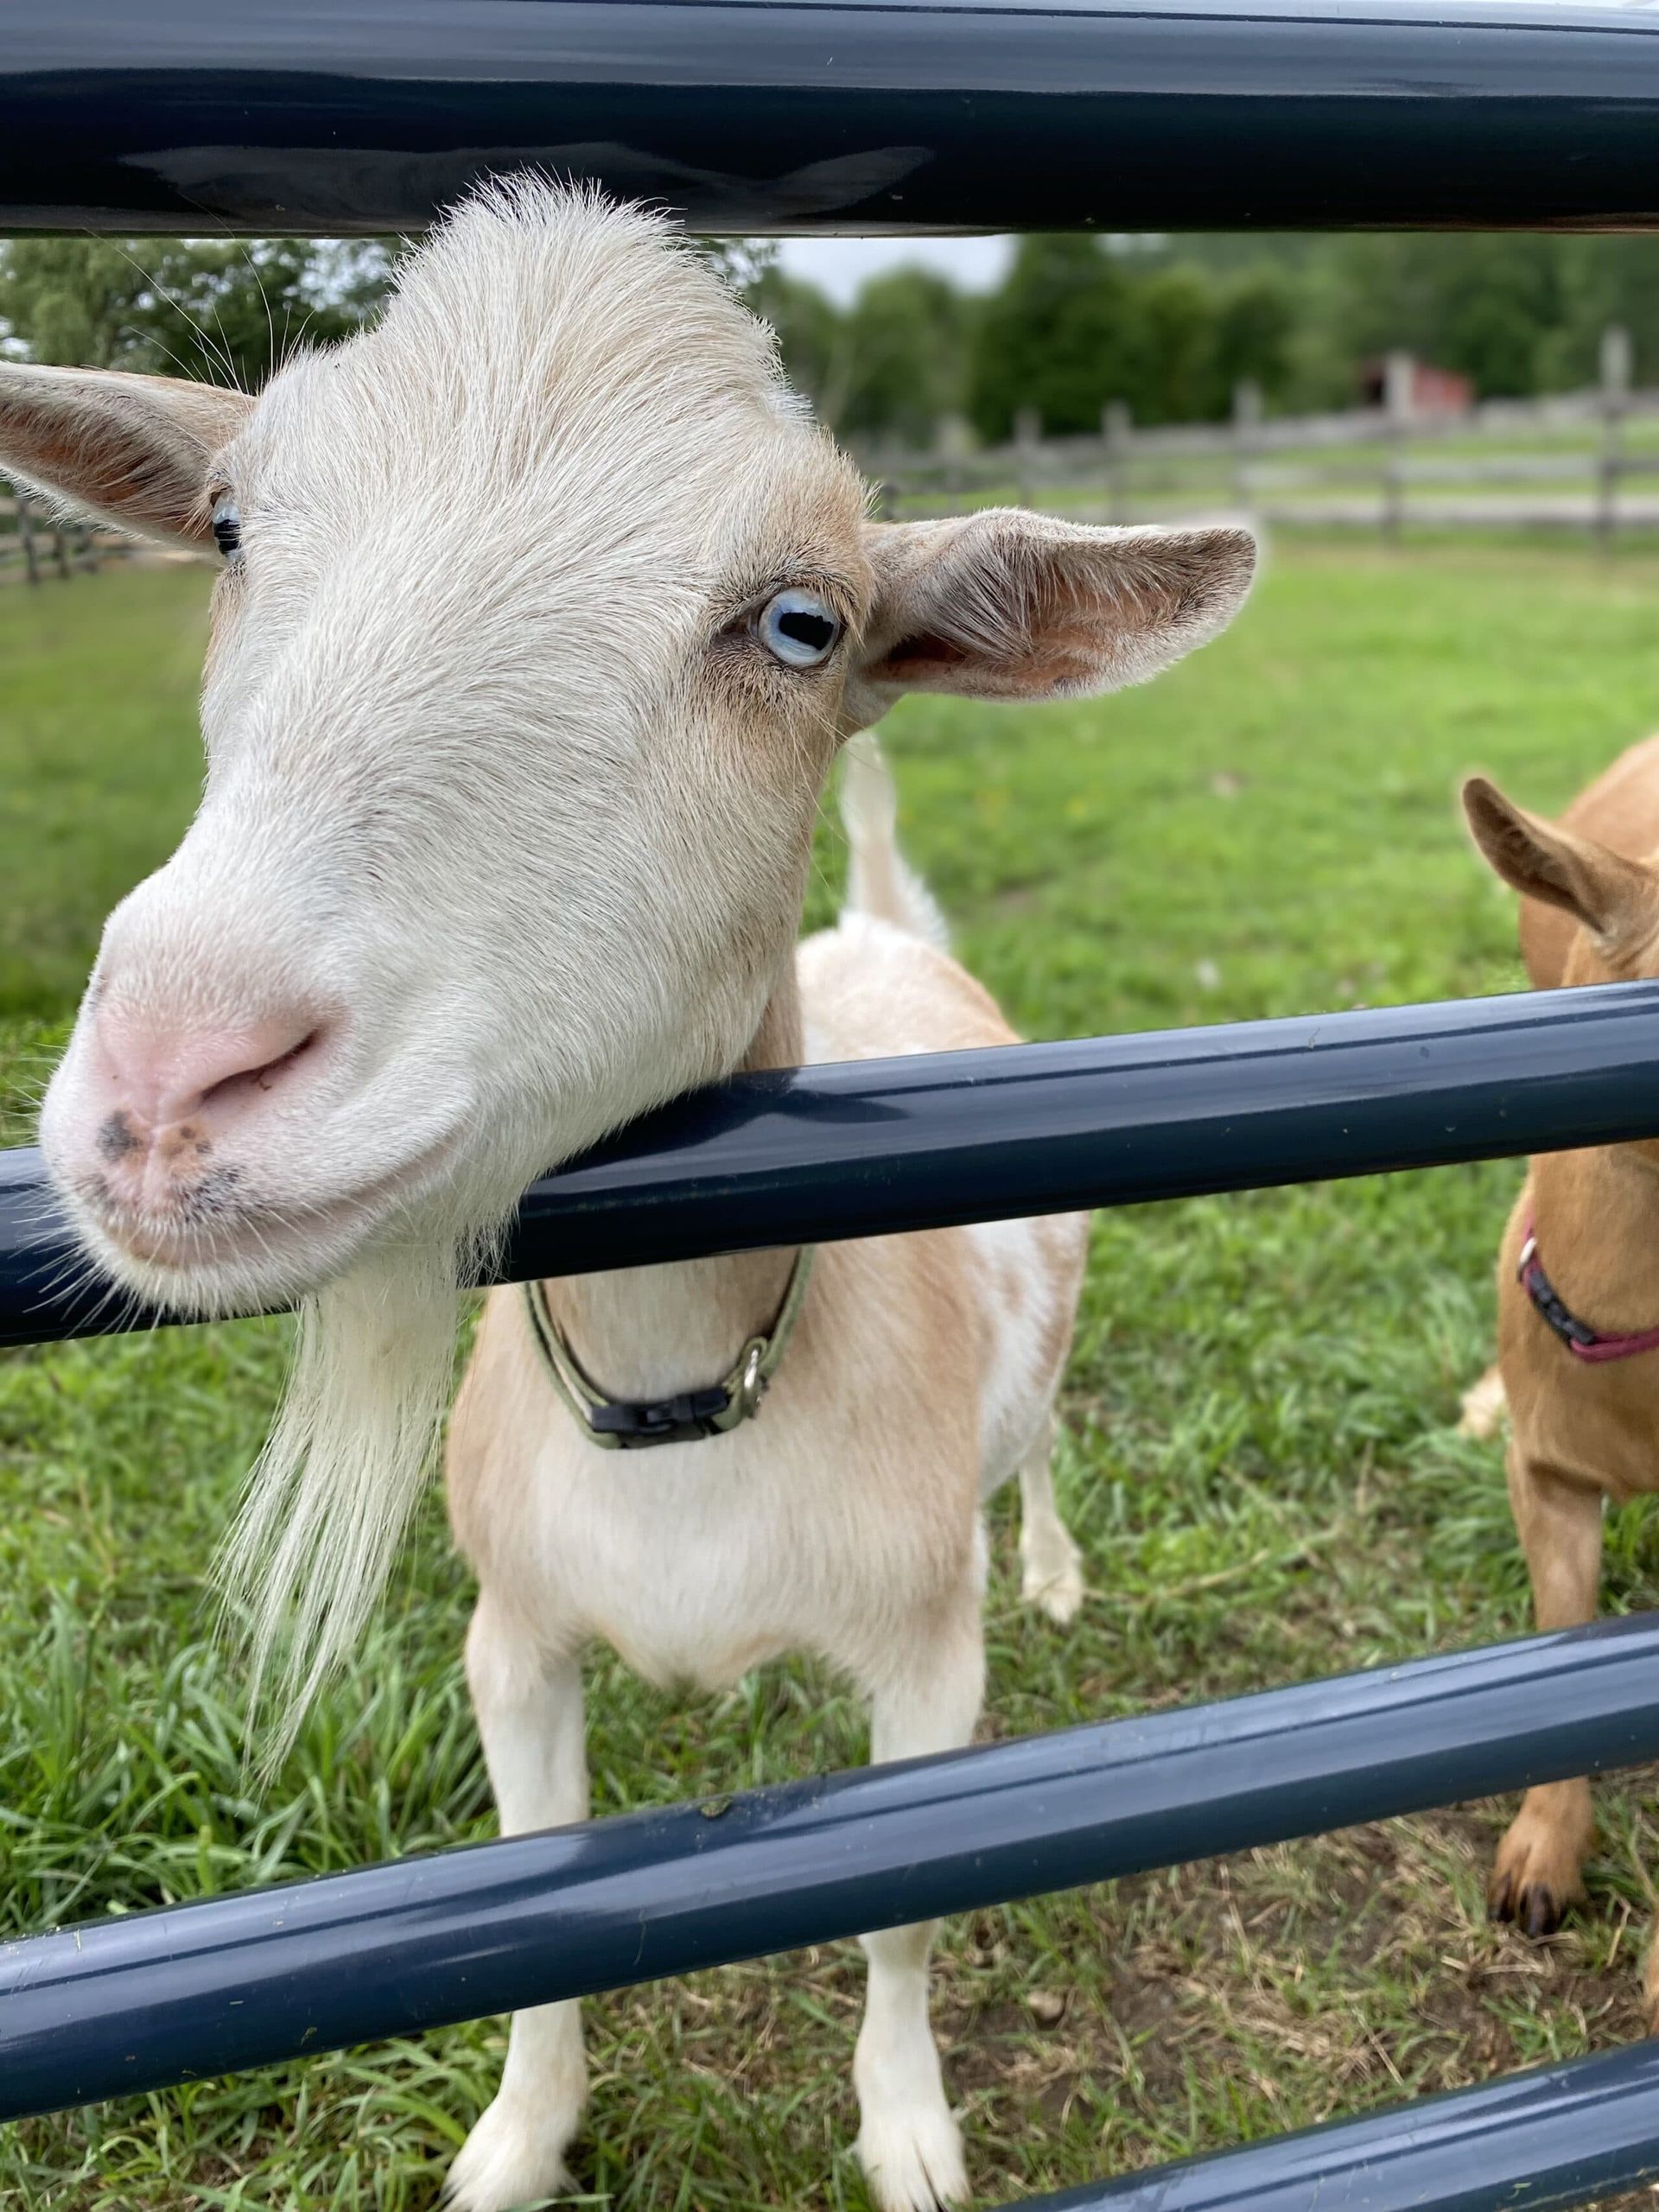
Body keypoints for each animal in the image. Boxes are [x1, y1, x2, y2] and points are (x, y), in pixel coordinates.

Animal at [1, 182, 1255, 2207]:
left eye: (802, 624)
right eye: (231, 525)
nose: (181, 1069)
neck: (688, 1404)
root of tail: (883, 926)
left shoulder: (930, 1668)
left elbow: (902, 1921)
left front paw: (910, 2131)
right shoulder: (509, 1637)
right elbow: (535, 1910)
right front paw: (517, 2141)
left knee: (1050, 1441)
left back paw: (1062, 1562)